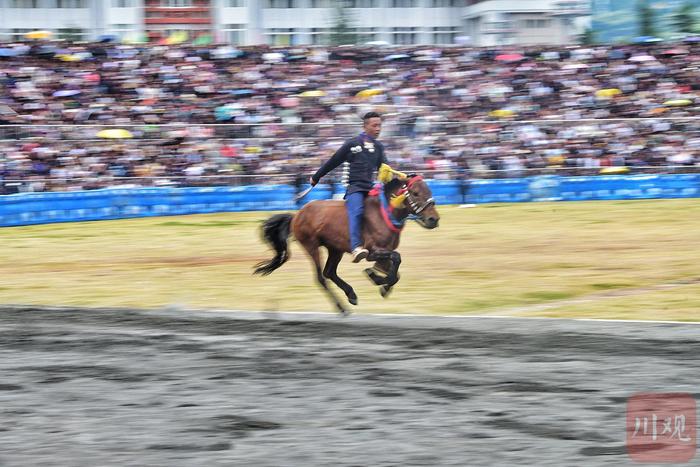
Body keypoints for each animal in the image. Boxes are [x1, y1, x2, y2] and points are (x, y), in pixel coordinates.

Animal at [252, 175, 438, 314]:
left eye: (429, 190)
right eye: (415, 193)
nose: (433, 219)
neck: (384, 213)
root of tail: (297, 215)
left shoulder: (384, 253)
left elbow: (395, 272)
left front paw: (380, 281)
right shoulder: (372, 252)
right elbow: (396, 258)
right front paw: (376, 277)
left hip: (335, 249)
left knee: (329, 272)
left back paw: (351, 294)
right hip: (312, 246)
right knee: (321, 277)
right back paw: (341, 307)